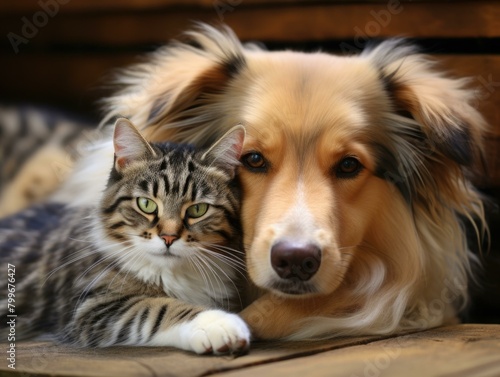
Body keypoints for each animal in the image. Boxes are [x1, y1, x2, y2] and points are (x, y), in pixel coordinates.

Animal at [0, 117, 250, 352]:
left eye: (197, 210)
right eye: (146, 204)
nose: (169, 238)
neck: (172, 273)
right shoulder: (92, 308)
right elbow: (158, 308)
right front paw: (217, 324)